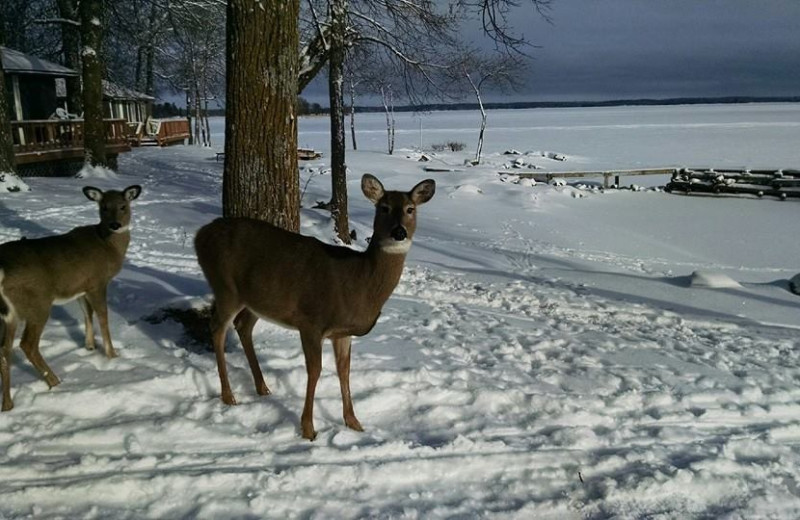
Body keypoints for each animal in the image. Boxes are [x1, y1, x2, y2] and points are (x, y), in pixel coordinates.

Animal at [0, 185, 142, 412]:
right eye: (103, 207)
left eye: (123, 206)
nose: (115, 224)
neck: (108, 246)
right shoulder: (97, 282)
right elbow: (103, 316)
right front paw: (112, 355)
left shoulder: (81, 287)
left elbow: (87, 313)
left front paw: (90, 346)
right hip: (37, 302)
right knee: (27, 344)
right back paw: (55, 382)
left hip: (8, 314)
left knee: (4, 350)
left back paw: (7, 404)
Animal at [195, 174, 438, 438]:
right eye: (383, 208)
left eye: (410, 209)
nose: (399, 232)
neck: (360, 282)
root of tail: (200, 235)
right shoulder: (311, 321)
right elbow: (315, 370)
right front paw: (309, 429)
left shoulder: (342, 332)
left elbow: (344, 371)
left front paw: (354, 423)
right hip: (225, 286)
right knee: (217, 328)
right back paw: (229, 395)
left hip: (256, 299)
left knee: (243, 326)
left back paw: (262, 388)